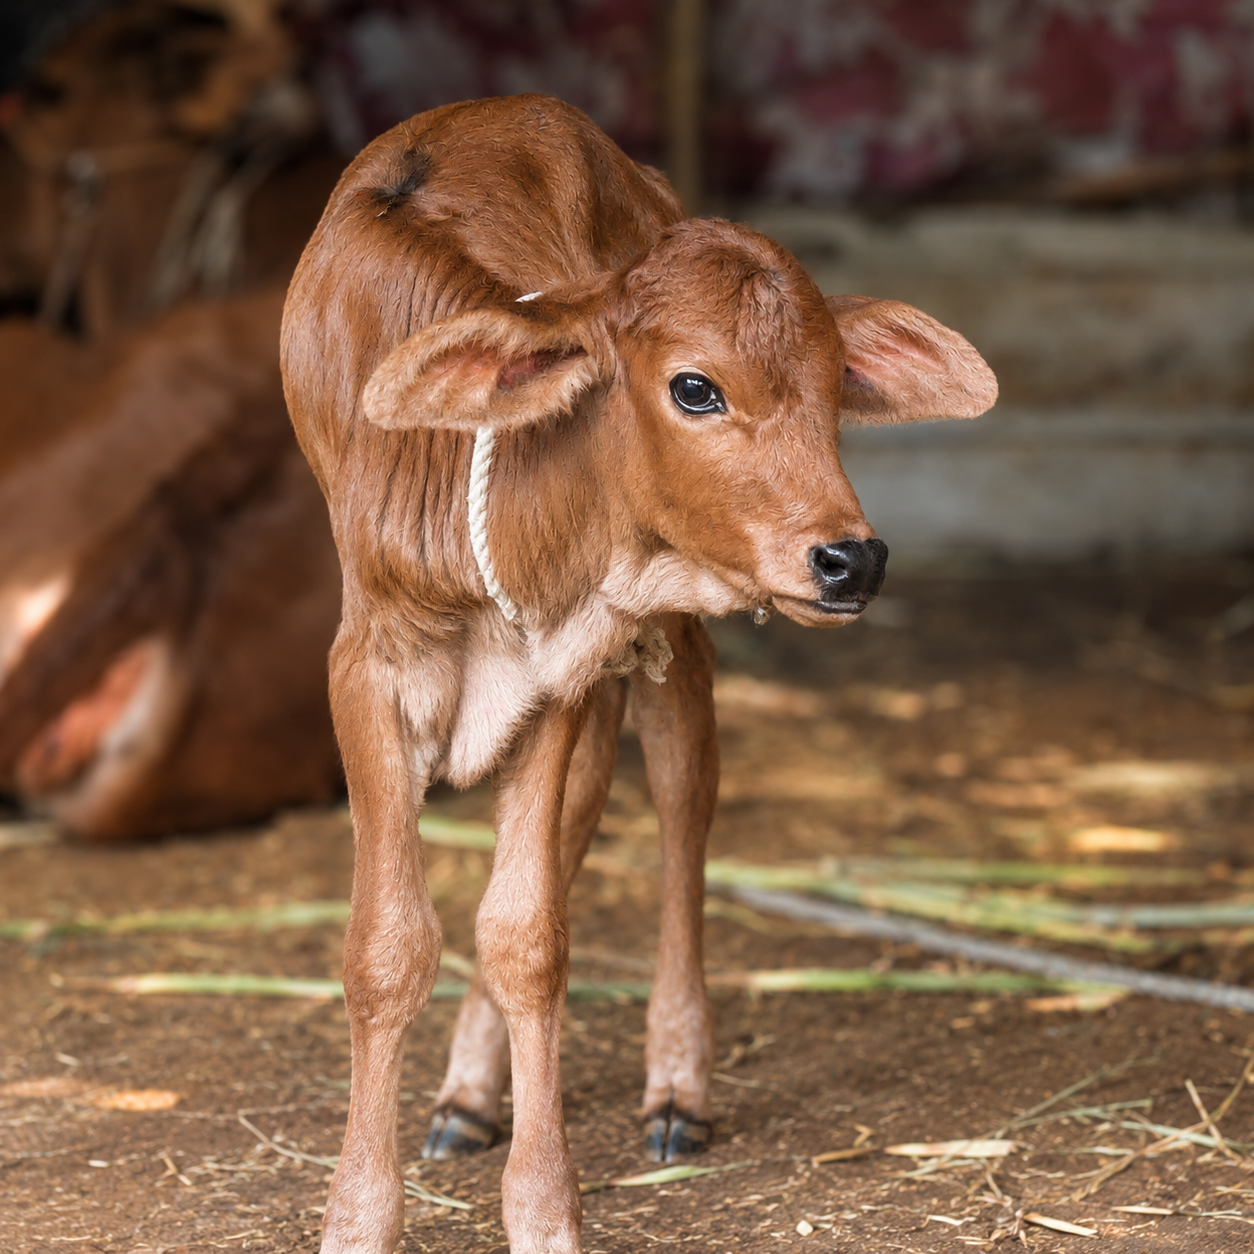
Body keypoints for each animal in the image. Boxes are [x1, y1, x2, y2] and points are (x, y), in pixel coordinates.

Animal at [281, 94, 996, 1254]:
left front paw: (543, 1212)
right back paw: (469, 1093)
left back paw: (674, 1084)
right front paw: (360, 1216)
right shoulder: (368, 672)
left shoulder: (563, 667)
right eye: (694, 388)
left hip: (668, 637)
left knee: (678, 794)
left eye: (836, 386)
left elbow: (527, 935)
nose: (852, 559)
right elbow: (389, 946)